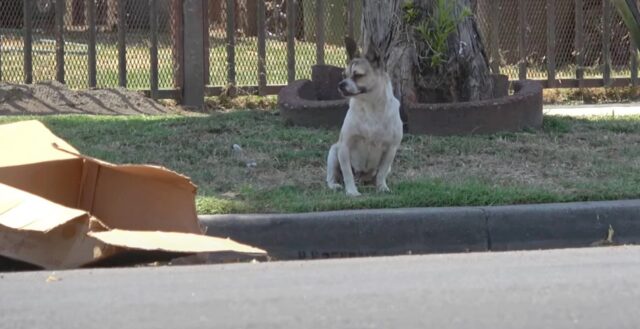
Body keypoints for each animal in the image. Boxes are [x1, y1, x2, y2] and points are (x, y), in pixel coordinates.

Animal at [328, 37, 402, 197]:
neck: (370, 106)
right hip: (334, 152)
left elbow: (381, 173)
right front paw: (352, 192)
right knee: (332, 176)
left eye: (358, 75)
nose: (340, 84)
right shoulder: (344, 147)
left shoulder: (391, 149)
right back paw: (335, 185)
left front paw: (382, 187)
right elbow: (347, 173)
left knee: (379, 174)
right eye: (343, 75)